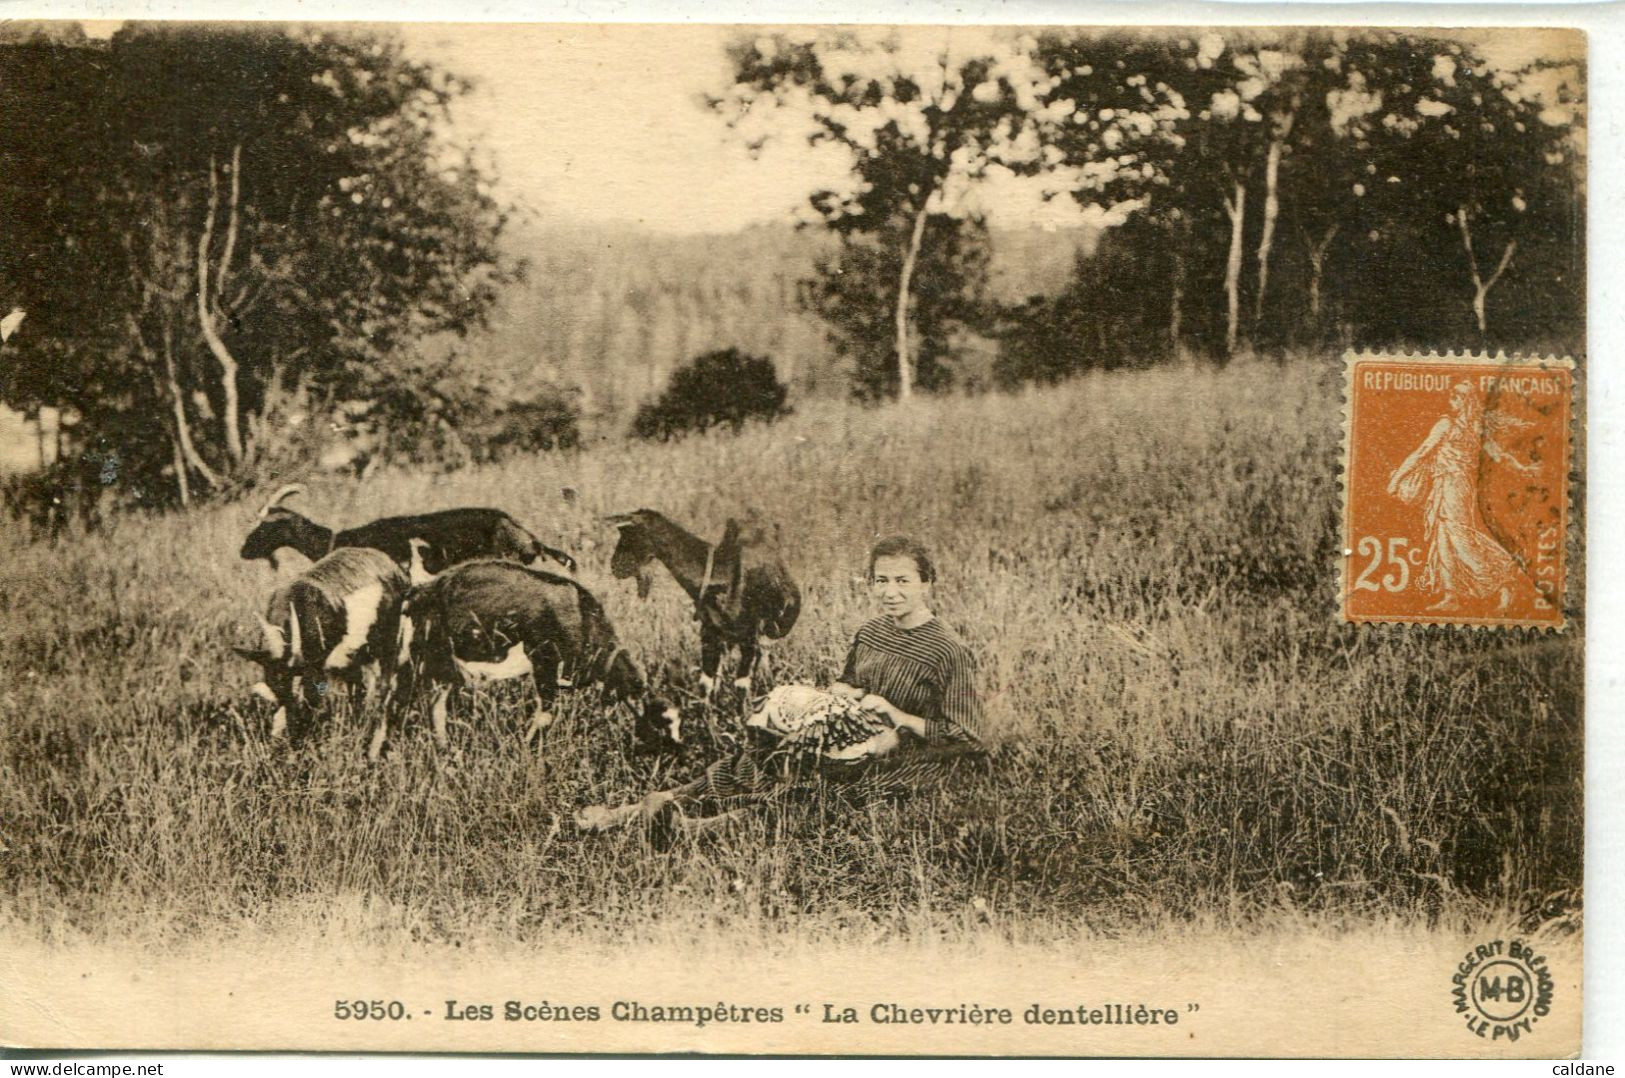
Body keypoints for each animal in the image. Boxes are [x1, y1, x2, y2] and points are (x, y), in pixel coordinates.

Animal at [390, 552, 682, 764]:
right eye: (663, 721)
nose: (678, 751)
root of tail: (423, 590)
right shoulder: (545, 663)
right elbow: (545, 715)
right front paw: (525, 749)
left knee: (434, 706)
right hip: (421, 658)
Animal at [604, 510, 799, 695]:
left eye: (628, 534)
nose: (615, 567)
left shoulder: (749, 635)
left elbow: (741, 686)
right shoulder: (709, 633)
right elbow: (707, 682)